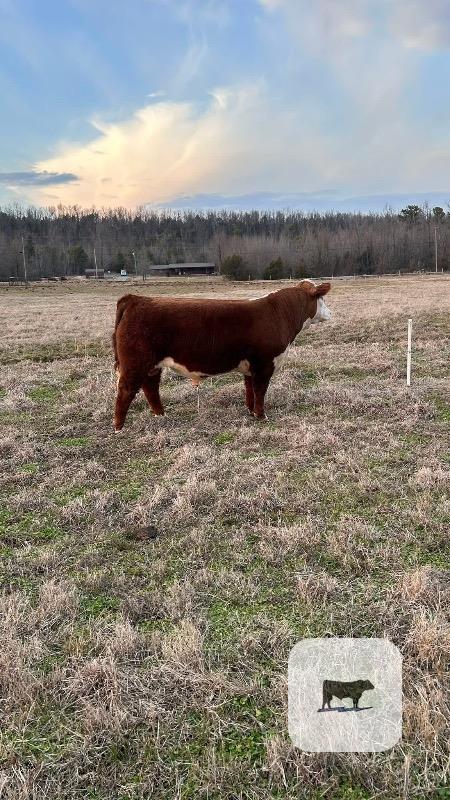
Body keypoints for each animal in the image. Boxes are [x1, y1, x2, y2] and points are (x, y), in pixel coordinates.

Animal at [112, 280, 331, 431]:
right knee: (126, 390)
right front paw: (261, 416)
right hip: (135, 363)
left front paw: (251, 411)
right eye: (322, 299)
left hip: (152, 365)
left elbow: (250, 390)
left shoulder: (250, 367)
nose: (331, 313)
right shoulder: (264, 364)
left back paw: (161, 415)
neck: (278, 313)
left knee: (150, 388)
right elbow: (260, 391)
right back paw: (119, 427)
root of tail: (136, 299)